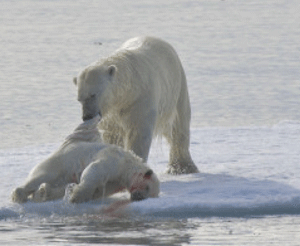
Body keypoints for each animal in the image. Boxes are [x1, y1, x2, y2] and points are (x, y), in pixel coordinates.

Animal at [11, 116, 159, 203]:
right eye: (147, 187)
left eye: (150, 194)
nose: (137, 197)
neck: (129, 164)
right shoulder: (114, 159)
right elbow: (95, 170)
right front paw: (77, 196)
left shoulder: (117, 182)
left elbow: (102, 189)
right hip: (58, 162)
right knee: (41, 176)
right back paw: (19, 195)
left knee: (57, 184)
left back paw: (43, 193)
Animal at [74, 36, 198, 175]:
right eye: (79, 99)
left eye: (93, 94)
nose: (87, 116)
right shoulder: (112, 113)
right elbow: (112, 135)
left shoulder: (141, 99)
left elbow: (139, 132)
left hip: (177, 87)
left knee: (178, 125)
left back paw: (182, 167)